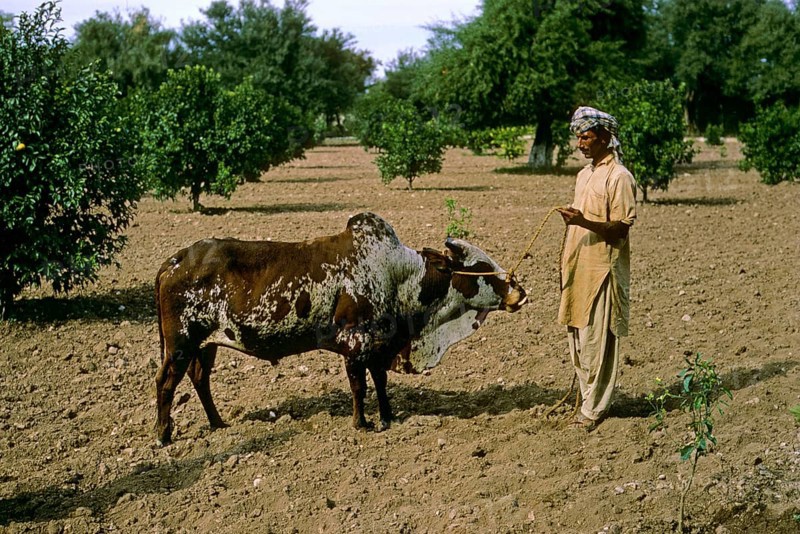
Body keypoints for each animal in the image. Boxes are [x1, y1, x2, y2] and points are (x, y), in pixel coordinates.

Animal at [154, 212, 526, 445]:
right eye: (480, 267)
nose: (519, 292)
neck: (399, 275)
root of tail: (176, 260)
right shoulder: (354, 343)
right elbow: (359, 388)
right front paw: (361, 424)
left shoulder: (378, 346)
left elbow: (380, 383)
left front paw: (388, 417)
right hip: (180, 344)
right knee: (166, 382)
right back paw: (162, 434)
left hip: (206, 345)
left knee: (200, 379)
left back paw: (218, 423)